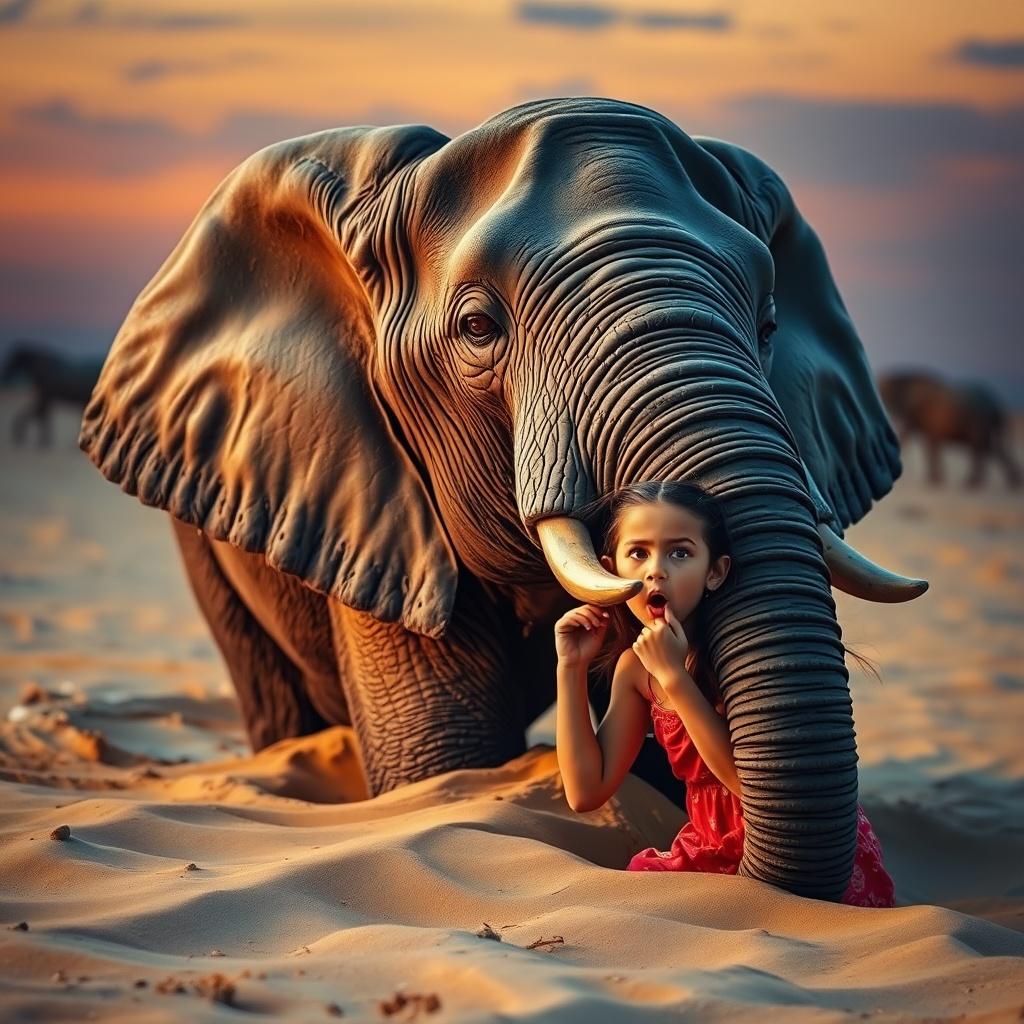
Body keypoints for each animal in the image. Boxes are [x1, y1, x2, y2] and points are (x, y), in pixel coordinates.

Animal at [878, 369, 1021, 488]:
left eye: (883, 391)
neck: (903, 376)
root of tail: (997, 403)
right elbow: (924, 443)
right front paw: (933, 480)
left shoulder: (926, 414)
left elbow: (930, 444)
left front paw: (934, 482)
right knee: (992, 448)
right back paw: (1012, 484)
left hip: (979, 419)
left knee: (980, 447)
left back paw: (971, 484)